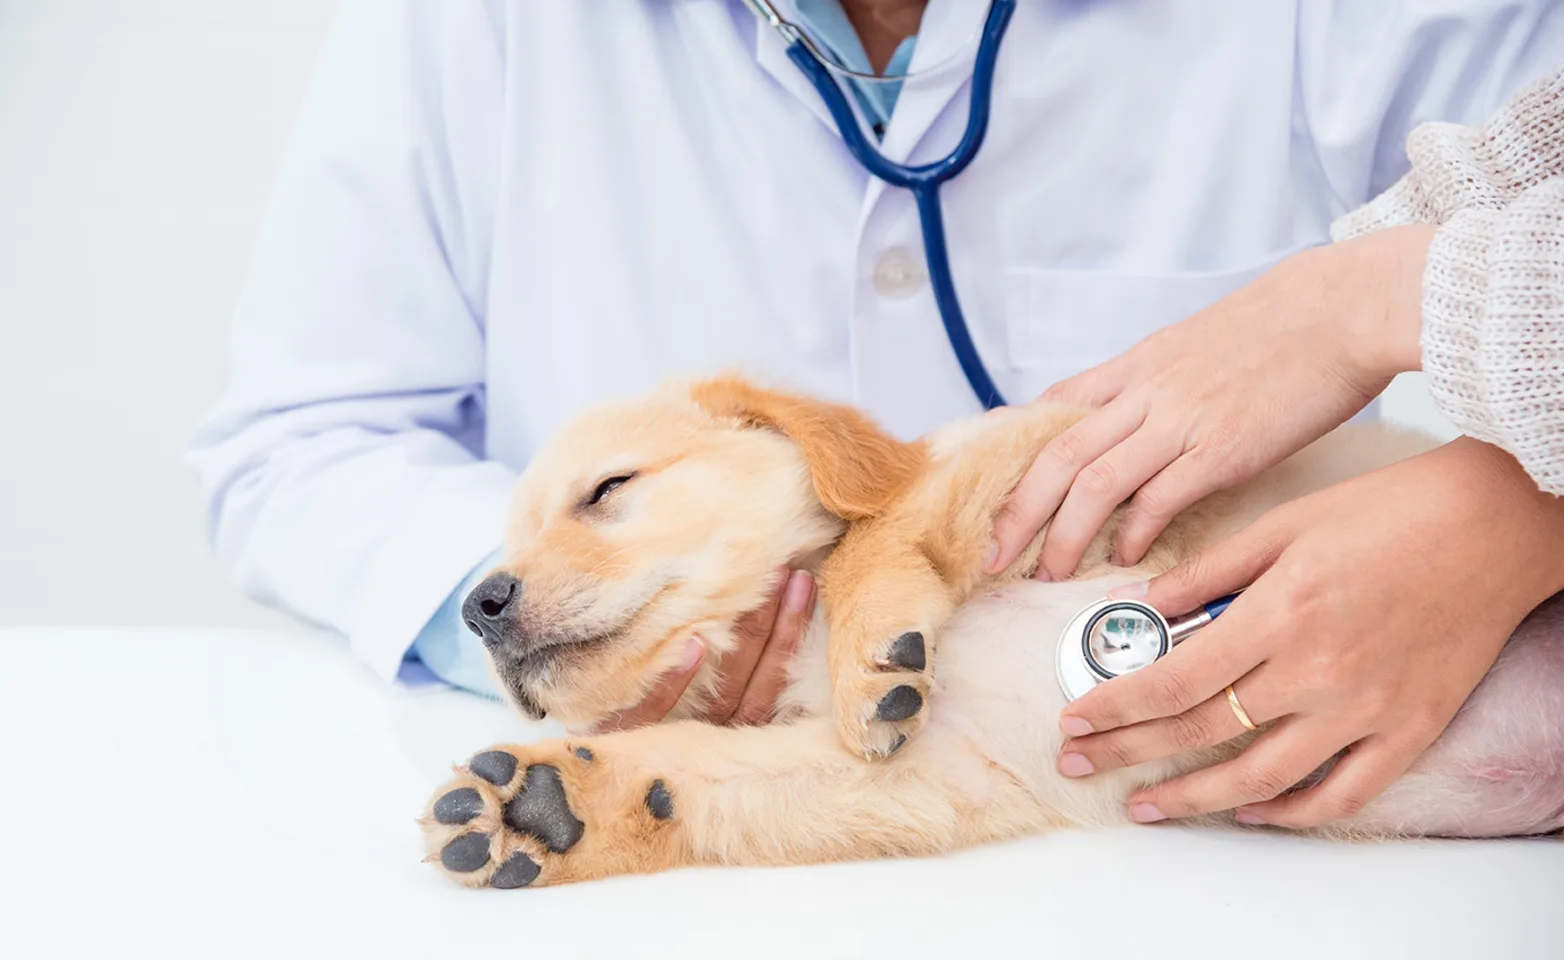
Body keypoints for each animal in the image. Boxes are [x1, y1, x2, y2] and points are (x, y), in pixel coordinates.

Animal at [416, 378, 1564, 894]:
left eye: (608, 491)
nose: (478, 604)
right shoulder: (929, 775)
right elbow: (695, 776)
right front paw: (546, 806)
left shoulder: (1055, 466)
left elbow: (879, 528)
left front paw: (873, 645)